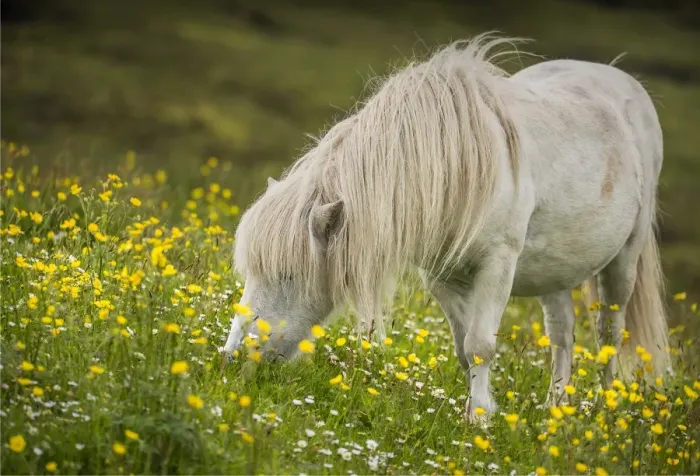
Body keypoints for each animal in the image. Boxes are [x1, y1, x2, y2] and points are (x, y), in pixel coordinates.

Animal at [222, 34, 671, 422]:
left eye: (288, 274)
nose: (232, 357)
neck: (459, 164)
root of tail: (621, 79)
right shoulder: (442, 276)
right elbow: (462, 346)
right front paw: (475, 410)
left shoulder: (497, 265)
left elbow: (480, 345)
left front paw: (478, 420)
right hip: (554, 271)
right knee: (562, 334)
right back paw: (555, 408)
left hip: (624, 262)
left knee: (609, 334)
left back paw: (601, 410)